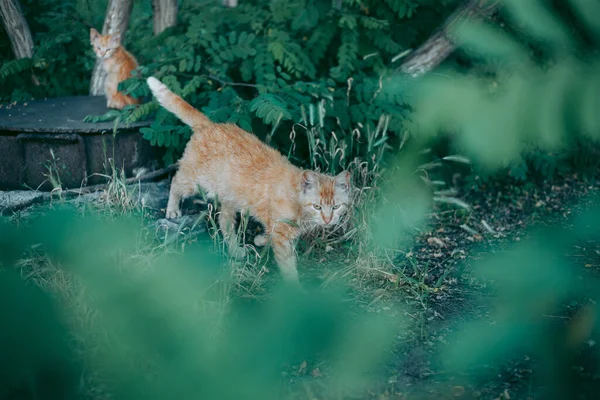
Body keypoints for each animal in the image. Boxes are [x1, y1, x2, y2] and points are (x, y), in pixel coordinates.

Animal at [146, 77, 352, 284]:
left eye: (336, 207)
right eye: (317, 206)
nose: (328, 219)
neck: (296, 201)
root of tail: (210, 125)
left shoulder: (279, 229)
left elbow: (268, 234)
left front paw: (259, 240)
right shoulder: (281, 235)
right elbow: (288, 266)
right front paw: (295, 289)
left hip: (229, 196)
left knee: (224, 221)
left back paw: (235, 250)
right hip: (196, 182)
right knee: (175, 181)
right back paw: (172, 210)